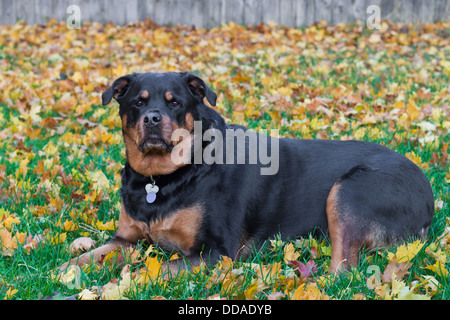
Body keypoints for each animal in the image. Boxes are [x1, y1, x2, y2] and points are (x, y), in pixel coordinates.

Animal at [59, 72, 432, 272]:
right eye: (138, 101)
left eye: (174, 102)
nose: (152, 118)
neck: (163, 177)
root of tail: (429, 195)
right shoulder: (125, 239)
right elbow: (87, 258)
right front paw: (62, 273)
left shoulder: (216, 251)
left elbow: (156, 268)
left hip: (347, 191)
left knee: (344, 268)